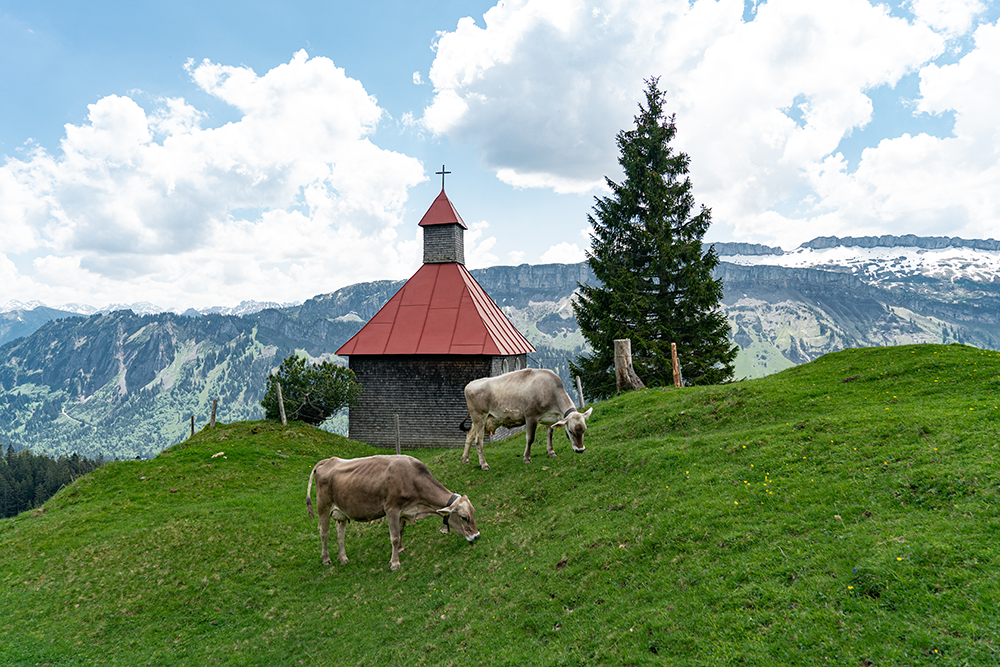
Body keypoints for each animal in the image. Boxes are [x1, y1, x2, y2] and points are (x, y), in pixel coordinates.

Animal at [302, 456, 478, 572]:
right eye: (464, 517)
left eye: (473, 513)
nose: (477, 536)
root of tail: (329, 460)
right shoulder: (391, 509)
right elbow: (394, 537)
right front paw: (395, 563)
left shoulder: (403, 511)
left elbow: (400, 532)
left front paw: (400, 550)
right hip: (323, 507)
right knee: (324, 532)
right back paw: (326, 559)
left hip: (341, 511)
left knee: (340, 531)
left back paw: (343, 558)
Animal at [460, 368, 592, 472]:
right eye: (570, 431)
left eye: (584, 430)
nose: (580, 450)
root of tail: (469, 384)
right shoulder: (530, 416)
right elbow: (530, 438)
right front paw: (527, 458)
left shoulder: (549, 418)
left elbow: (549, 434)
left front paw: (551, 452)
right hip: (479, 417)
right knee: (478, 440)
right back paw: (484, 464)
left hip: (481, 420)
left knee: (470, 434)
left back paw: (465, 459)